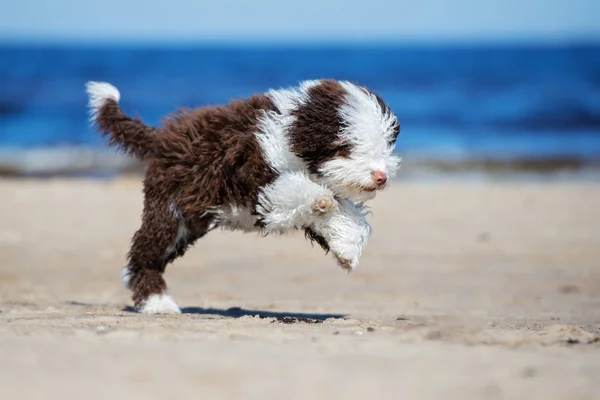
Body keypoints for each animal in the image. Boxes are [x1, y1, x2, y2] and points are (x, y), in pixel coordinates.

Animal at [84, 78, 400, 314]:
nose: (381, 177)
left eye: (383, 146)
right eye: (347, 147)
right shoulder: (255, 178)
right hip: (169, 213)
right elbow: (297, 191)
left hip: (188, 220)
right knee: (144, 256)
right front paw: (319, 201)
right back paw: (157, 302)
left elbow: (343, 213)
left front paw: (346, 247)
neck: (290, 134)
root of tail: (162, 138)